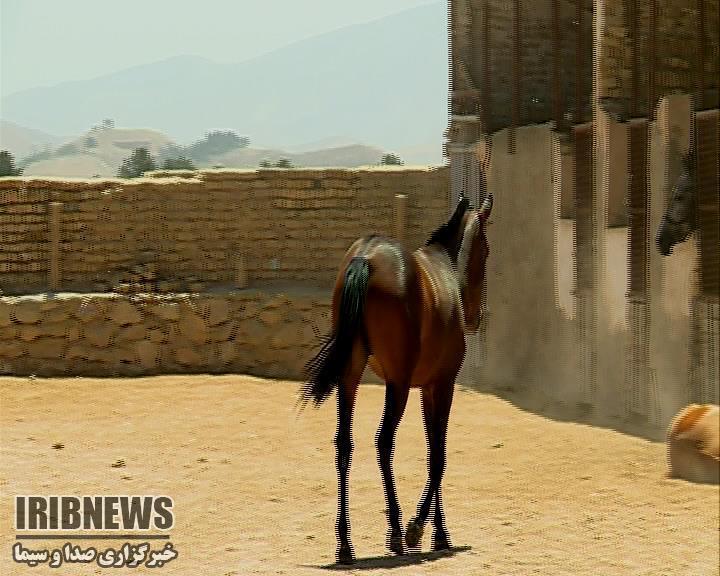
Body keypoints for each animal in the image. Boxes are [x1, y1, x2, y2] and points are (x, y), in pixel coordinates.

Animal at [300, 192, 496, 564]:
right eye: (487, 248)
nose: (476, 317)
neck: (445, 270)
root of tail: (365, 257)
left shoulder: (427, 389)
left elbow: (433, 449)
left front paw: (438, 532)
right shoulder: (442, 385)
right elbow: (439, 456)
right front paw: (421, 528)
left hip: (351, 377)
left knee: (344, 443)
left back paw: (345, 544)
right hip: (397, 384)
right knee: (383, 442)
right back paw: (394, 533)